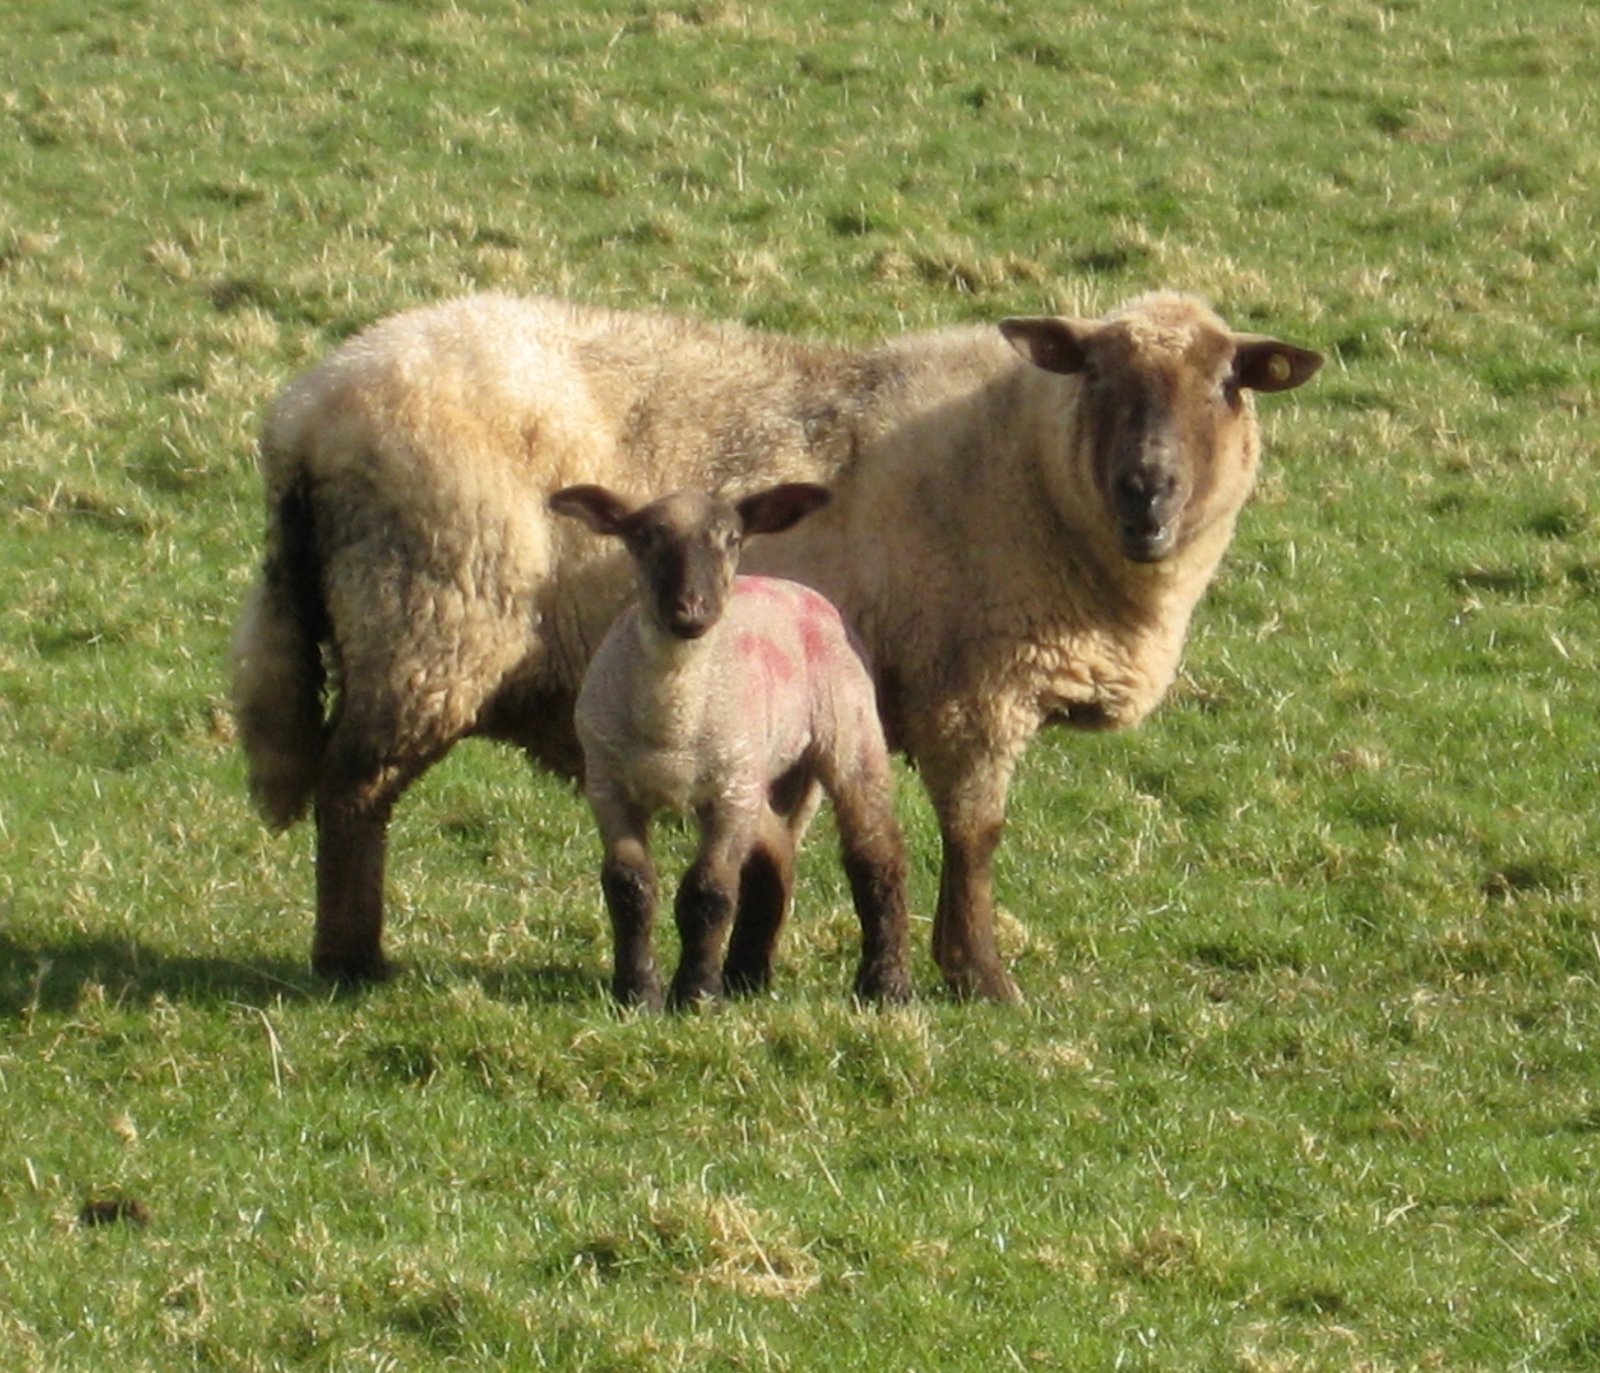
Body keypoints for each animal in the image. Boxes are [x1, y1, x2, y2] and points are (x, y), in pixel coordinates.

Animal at [546, 480, 911, 1010]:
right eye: (644, 537)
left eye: (732, 539)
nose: (691, 610)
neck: (671, 724)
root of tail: (797, 589)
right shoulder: (608, 785)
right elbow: (629, 886)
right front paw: (637, 992)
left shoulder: (729, 792)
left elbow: (710, 892)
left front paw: (696, 995)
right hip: (758, 774)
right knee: (775, 854)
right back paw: (746, 974)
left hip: (848, 731)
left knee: (875, 851)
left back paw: (886, 984)